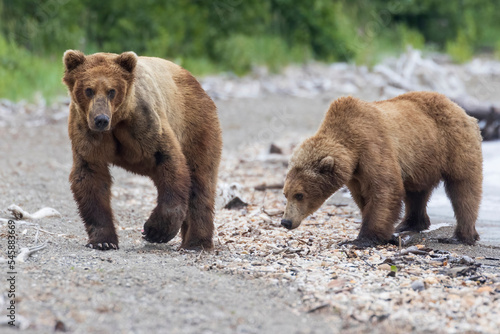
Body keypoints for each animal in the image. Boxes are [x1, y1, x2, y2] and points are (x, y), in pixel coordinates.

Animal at [62, 50, 221, 250]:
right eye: (88, 90)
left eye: (112, 91)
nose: (101, 119)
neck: (116, 123)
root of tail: (196, 82)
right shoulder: (86, 133)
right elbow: (91, 176)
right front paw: (103, 241)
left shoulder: (144, 122)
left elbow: (169, 161)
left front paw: (155, 231)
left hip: (195, 124)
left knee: (200, 179)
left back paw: (196, 242)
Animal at [282, 92, 480, 247]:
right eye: (285, 194)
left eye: (299, 195)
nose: (285, 221)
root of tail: (457, 107)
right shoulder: (355, 175)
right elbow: (364, 197)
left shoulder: (373, 146)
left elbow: (384, 189)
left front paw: (361, 239)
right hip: (422, 161)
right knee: (416, 193)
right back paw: (409, 224)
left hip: (454, 145)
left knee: (464, 189)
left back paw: (461, 236)